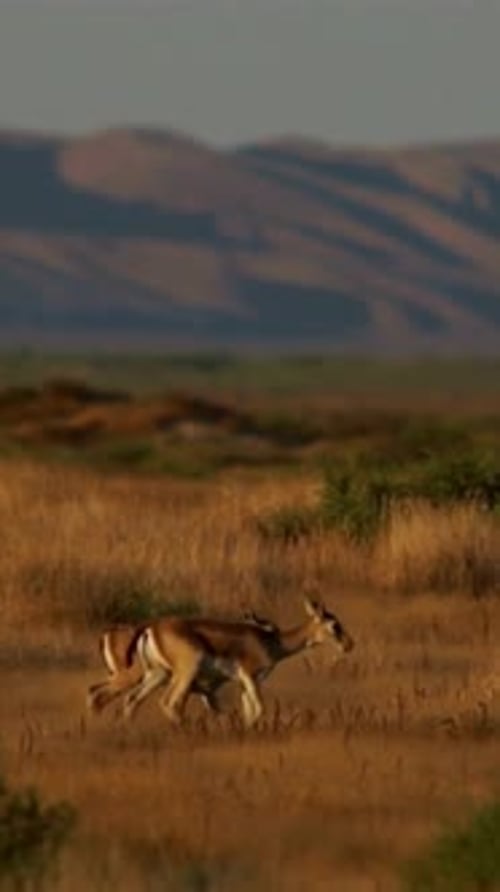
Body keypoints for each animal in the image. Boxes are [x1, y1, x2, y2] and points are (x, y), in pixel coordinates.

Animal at [121, 597, 354, 728]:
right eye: (335, 625)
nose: (349, 645)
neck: (271, 642)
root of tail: (151, 628)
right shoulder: (250, 676)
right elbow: (259, 709)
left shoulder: (243, 682)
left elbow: (248, 710)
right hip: (184, 674)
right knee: (169, 703)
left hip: (158, 674)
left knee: (132, 699)